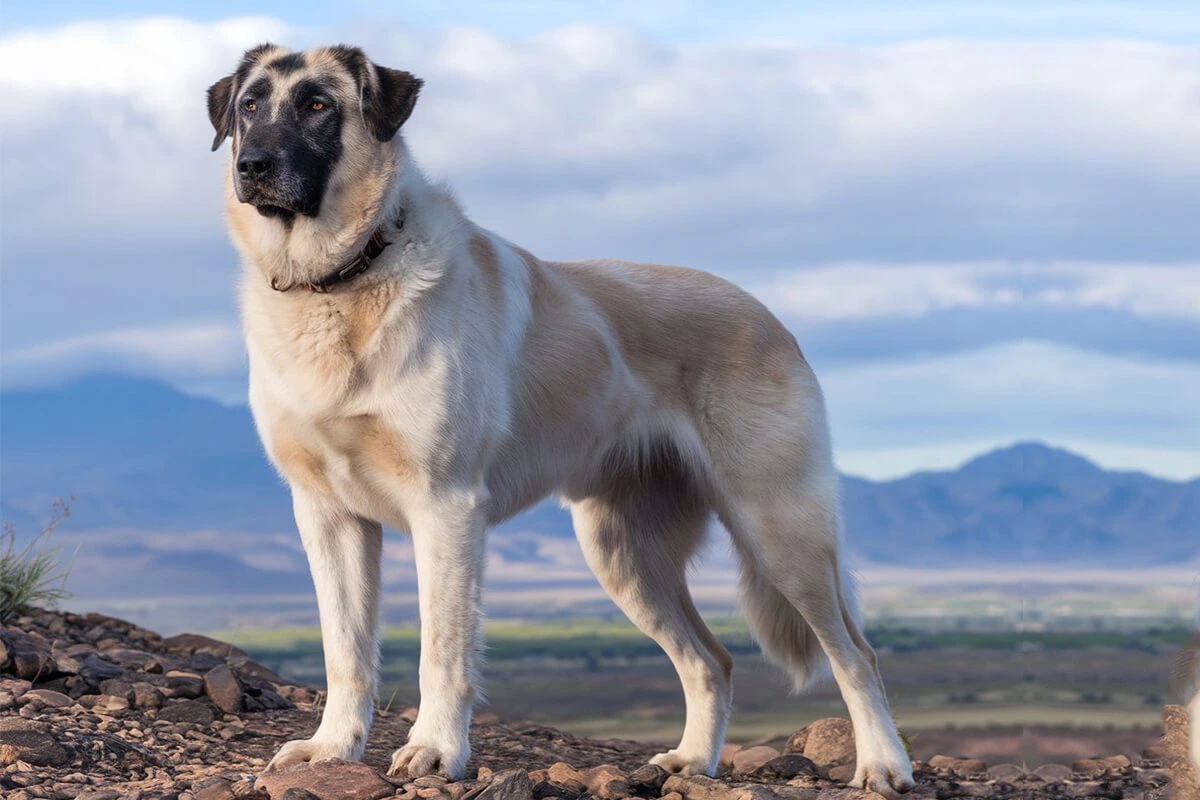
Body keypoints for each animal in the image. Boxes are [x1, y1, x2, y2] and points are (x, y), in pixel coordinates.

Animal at [211, 45, 912, 800]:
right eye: (251, 105)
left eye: (317, 105)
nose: (251, 164)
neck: (345, 277)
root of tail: (767, 315)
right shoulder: (327, 515)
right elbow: (345, 650)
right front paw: (332, 748)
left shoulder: (446, 508)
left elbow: (442, 652)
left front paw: (435, 750)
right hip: (624, 553)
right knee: (711, 660)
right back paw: (693, 760)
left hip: (779, 530)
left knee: (856, 654)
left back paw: (883, 765)